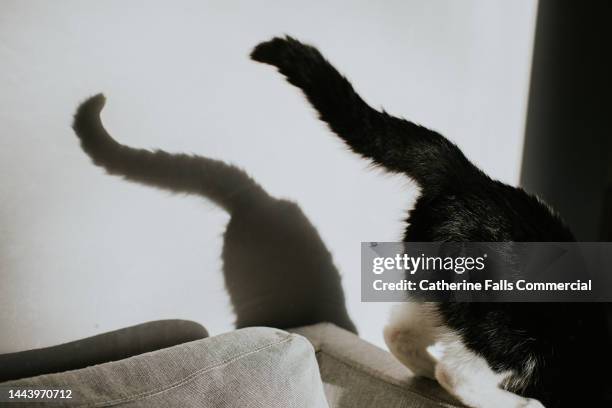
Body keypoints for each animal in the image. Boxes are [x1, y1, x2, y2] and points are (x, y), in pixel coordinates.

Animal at [251, 36, 608, 406]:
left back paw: (425, 369)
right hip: (519, 327)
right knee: (457, 373)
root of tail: (468, 175)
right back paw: (522, 402)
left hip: (438, 292)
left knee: (397, 332)